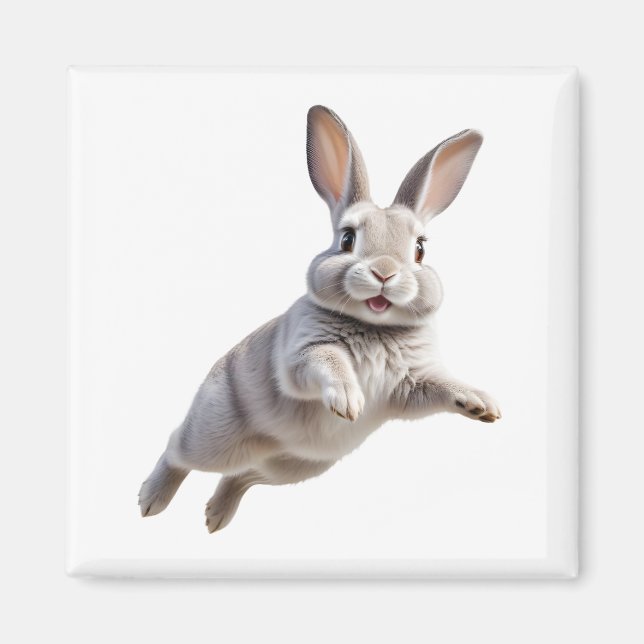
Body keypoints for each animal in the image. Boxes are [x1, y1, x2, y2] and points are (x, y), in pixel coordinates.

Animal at [138, 105, 501, 533]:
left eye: (419, 250)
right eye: (347, 239)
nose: (384, 273)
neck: (374, 326)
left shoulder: (412, 384)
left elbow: (442, 387)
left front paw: (482, 405)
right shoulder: (301, 354)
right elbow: (329, 359)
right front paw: (348, 402)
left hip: (296, 466)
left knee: (243, 476)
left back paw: (216, 516)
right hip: (214, 436)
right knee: (177, 450)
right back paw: (150, 500)